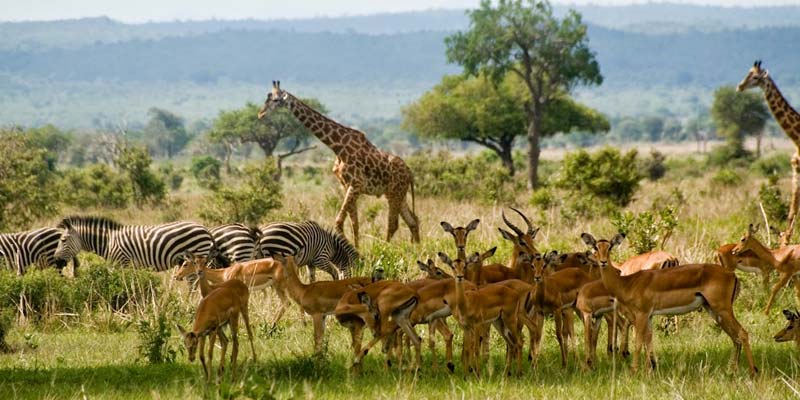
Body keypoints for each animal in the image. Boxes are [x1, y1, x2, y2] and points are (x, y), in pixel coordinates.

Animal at [54, 216, 214, 272]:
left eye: (63, 240)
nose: (56, 262)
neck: (108, 241)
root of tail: (204, 228)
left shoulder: (121, 263)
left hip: (197, 255)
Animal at [258, 81, 422, 247]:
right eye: (267, 97)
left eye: (276, 100)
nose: (260, 115)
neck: (338, 147)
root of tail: (410, 172)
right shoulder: (347, 185)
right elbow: (354, 222)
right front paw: (356, 248)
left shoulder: (355, 184)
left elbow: (339, 221)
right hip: (397, 193)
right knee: (413, 220)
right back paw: (416, 248)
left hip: (395, 193)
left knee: (394, 223)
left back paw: (385, 248)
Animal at [736, 60, 800, 245]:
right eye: (748, 73)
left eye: (756, 77)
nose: (740, 86)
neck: (796, 138)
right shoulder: (796, 169)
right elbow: (793, 209)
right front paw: (785, 239)